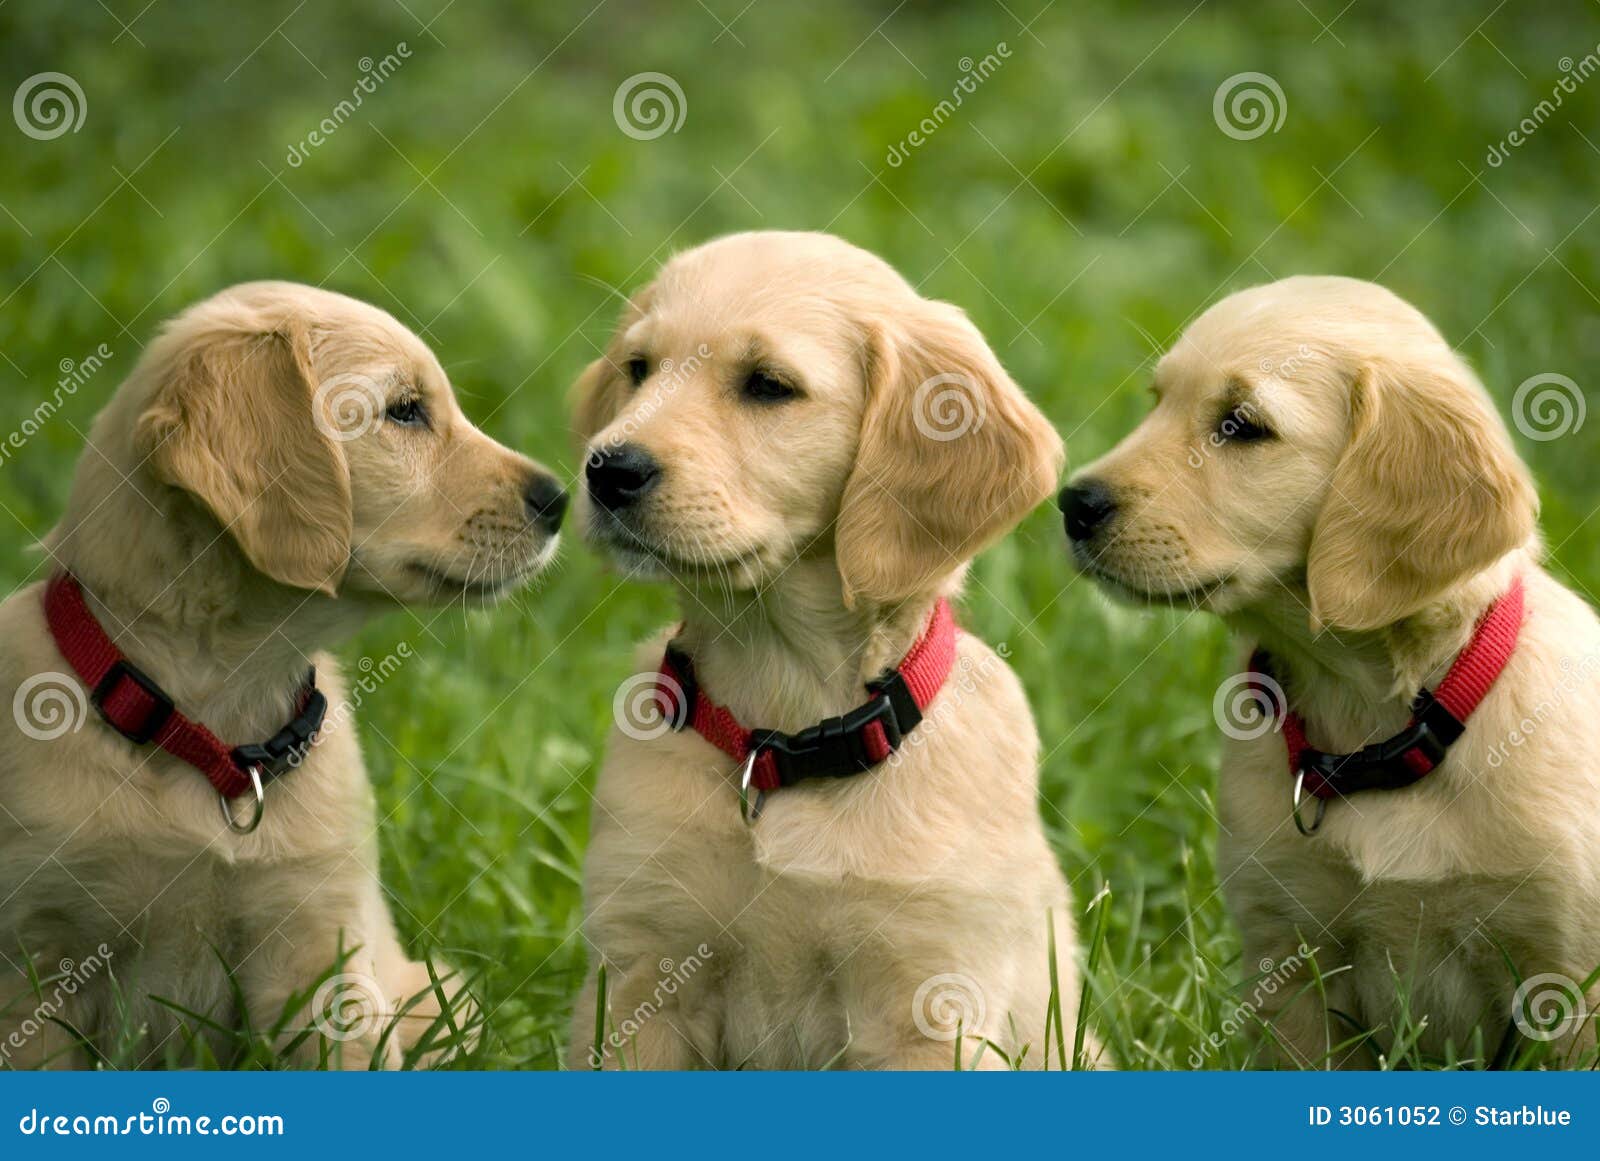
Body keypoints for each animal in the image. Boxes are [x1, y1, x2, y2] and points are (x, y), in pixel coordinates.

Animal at [563, 230, 1088, 1074]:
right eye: (638, 368)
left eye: (768, 386)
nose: (607, 469)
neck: (785, 733)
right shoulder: (643, 976)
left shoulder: (928, 1005)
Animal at [1062, 275, 1600, 1074]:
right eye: (1157, 401)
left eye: (1240, 426)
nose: (1073, 504)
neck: (1380, 726)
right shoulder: (1289, 956)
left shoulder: (1567, 979)